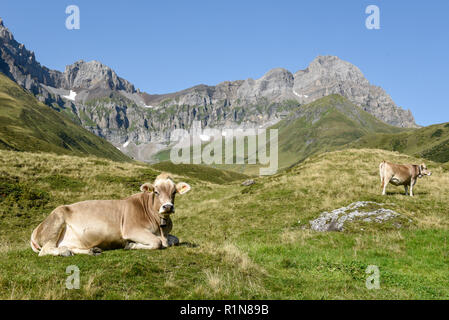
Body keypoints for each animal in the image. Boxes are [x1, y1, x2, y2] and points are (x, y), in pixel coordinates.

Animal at [29, 174, 191, 256]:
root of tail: (36, 229)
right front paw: (130, 245)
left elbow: (175, 240)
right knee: (45, 250)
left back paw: (91, 250)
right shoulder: (132, 229)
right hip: (56, 220)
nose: (168, 206)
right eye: (156, 192)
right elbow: (157, 243)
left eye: (174, 192)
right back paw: (64, 252)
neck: (160, 227)